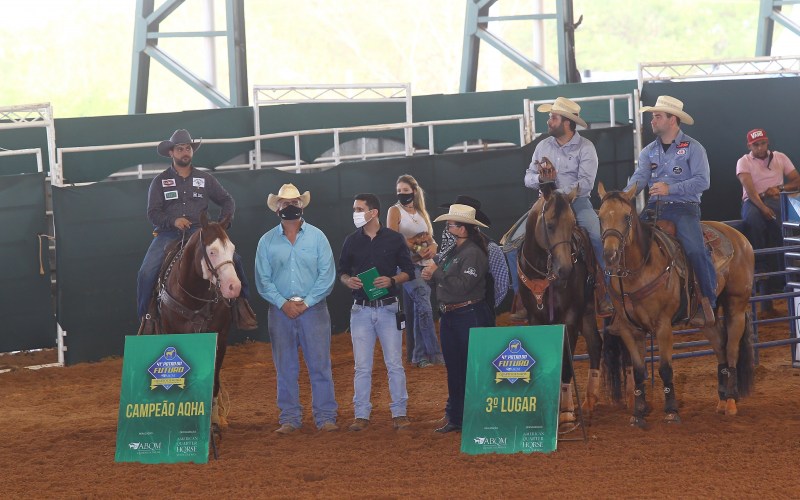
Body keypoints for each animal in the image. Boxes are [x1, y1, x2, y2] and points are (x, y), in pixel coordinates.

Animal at [149, 211, 238, 434]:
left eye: (232, 249)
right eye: (212, 251)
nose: (234, 286)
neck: (194, 298)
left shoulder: (220, 339)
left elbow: (213, 379)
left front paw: (213, 420)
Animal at [516, 183, 604, 426]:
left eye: (572, 224)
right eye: (550, 224)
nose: (565, 269)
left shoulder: (570, 316)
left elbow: (566, 360)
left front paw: (565, 409)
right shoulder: (535, 318)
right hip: (587, 311)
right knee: (595, 343)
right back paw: (590, 399)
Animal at [596, 186, 752, 428]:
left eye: (627, 217)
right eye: (600, 217)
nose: (610, 255)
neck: (639, 271)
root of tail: (739, 237)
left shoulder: (663, 326)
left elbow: (665, 369)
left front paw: (671, 411)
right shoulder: (629, 330)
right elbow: (639, 371)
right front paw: (638, 413)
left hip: (736, 304)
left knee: (731, 349)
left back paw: (731, 402)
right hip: (707, 318)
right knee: (720, 346)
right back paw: (721, 399)